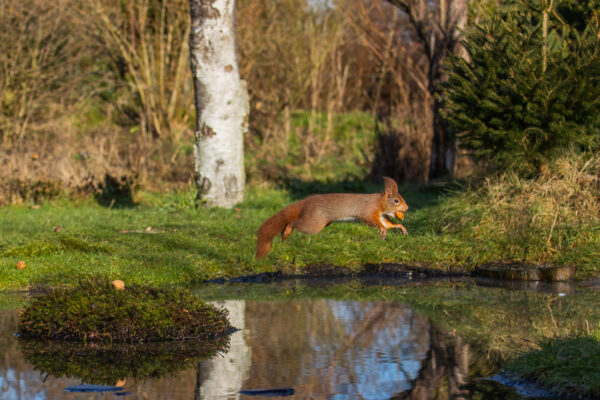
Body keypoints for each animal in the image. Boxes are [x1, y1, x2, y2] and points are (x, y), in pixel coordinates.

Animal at [255, 176, 410, 258]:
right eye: (396, 201)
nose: (407, 208)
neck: (379, 203)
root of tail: (306, 202)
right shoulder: (369, 211)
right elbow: (372, 220)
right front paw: (382, 230)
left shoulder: (382, 215)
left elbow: (387, 223)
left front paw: (399, 227)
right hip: (314, 224)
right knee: (294, 223)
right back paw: (287, 230)